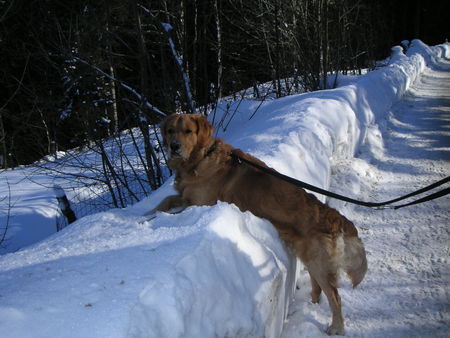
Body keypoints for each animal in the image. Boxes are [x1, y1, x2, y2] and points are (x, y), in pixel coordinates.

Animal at [148, 113, 366, 336]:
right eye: (170, 131)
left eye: (188, 131)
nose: (174, 146)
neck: (199, 159)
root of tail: (334, 216)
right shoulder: (184, 196)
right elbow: (164, 201)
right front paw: (147, 215)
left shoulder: (201, 203)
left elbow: (169, 211)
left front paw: (149, 222)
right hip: (312, 259)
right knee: (318, 288)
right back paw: (309, 306)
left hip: (318, 263)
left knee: (335, 297)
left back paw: (336, 327)